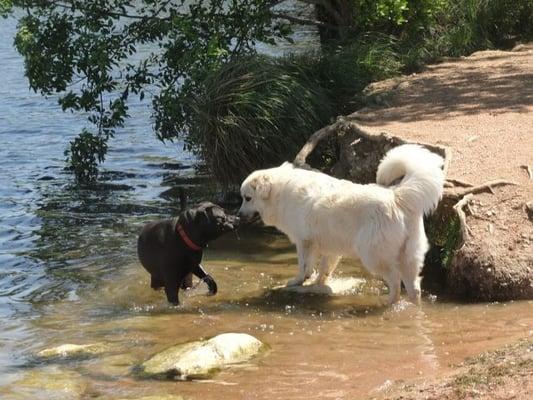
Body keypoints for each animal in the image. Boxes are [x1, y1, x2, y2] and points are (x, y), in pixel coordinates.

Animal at [238, 145, 444, 304]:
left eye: (247, 198)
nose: (238, 215)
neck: (279, 192)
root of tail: (396, 196)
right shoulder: (329, 246)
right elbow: (324, 269)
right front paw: (317, 284)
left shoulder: (304, 242)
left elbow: (304, 266)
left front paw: (297, 281)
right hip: (409, 257)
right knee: (414, 288)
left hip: (373, 255)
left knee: (395, 281)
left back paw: (389, 304)